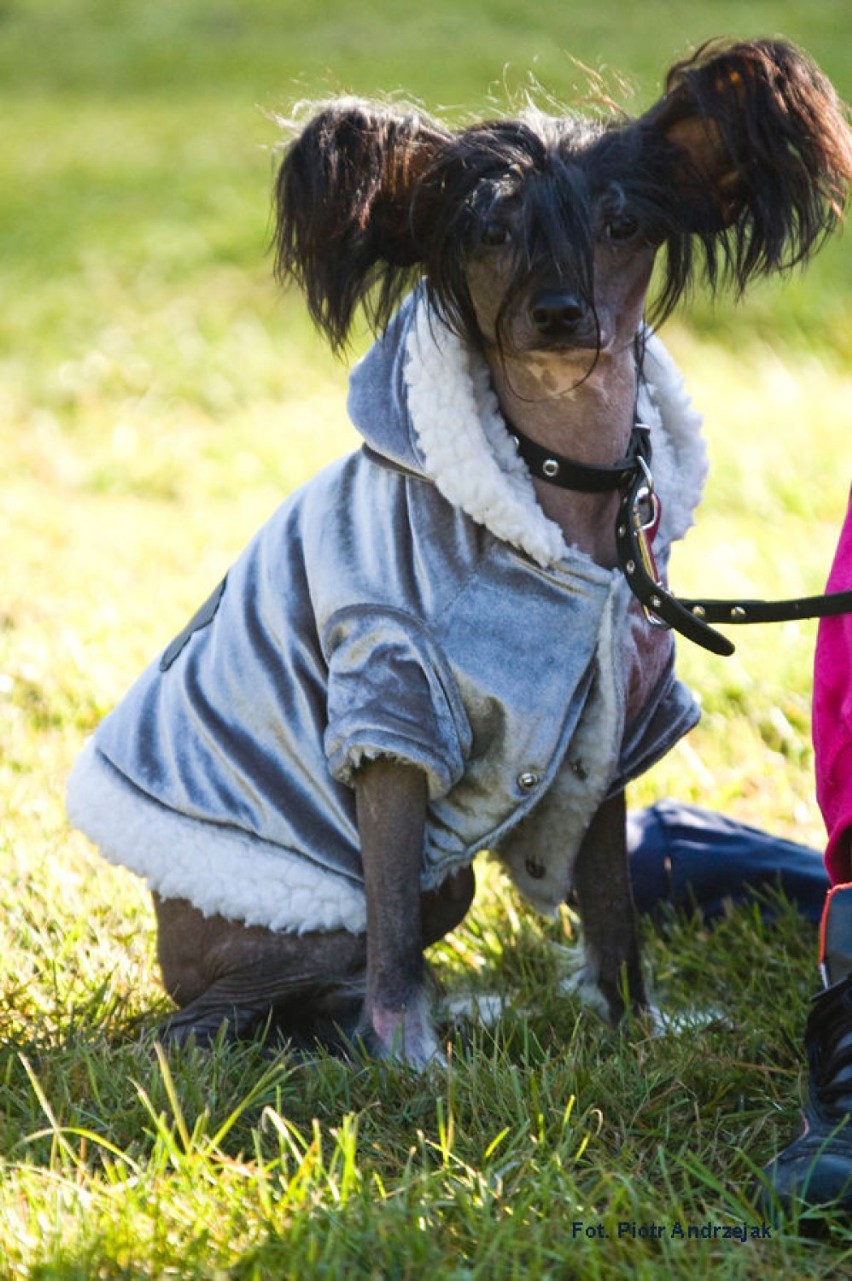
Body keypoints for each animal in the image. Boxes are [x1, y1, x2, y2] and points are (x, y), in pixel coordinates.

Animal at [66, 35, 850, 1065]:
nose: (557, 312)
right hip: (346, 903)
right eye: (487, 235)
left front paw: (635, 1027)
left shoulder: (613, 729)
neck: (558, 485)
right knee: (218, 1017)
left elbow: (614, 909)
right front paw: (410, 1060)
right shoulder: (392, 709)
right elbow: (393, 924)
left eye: (621, 223)